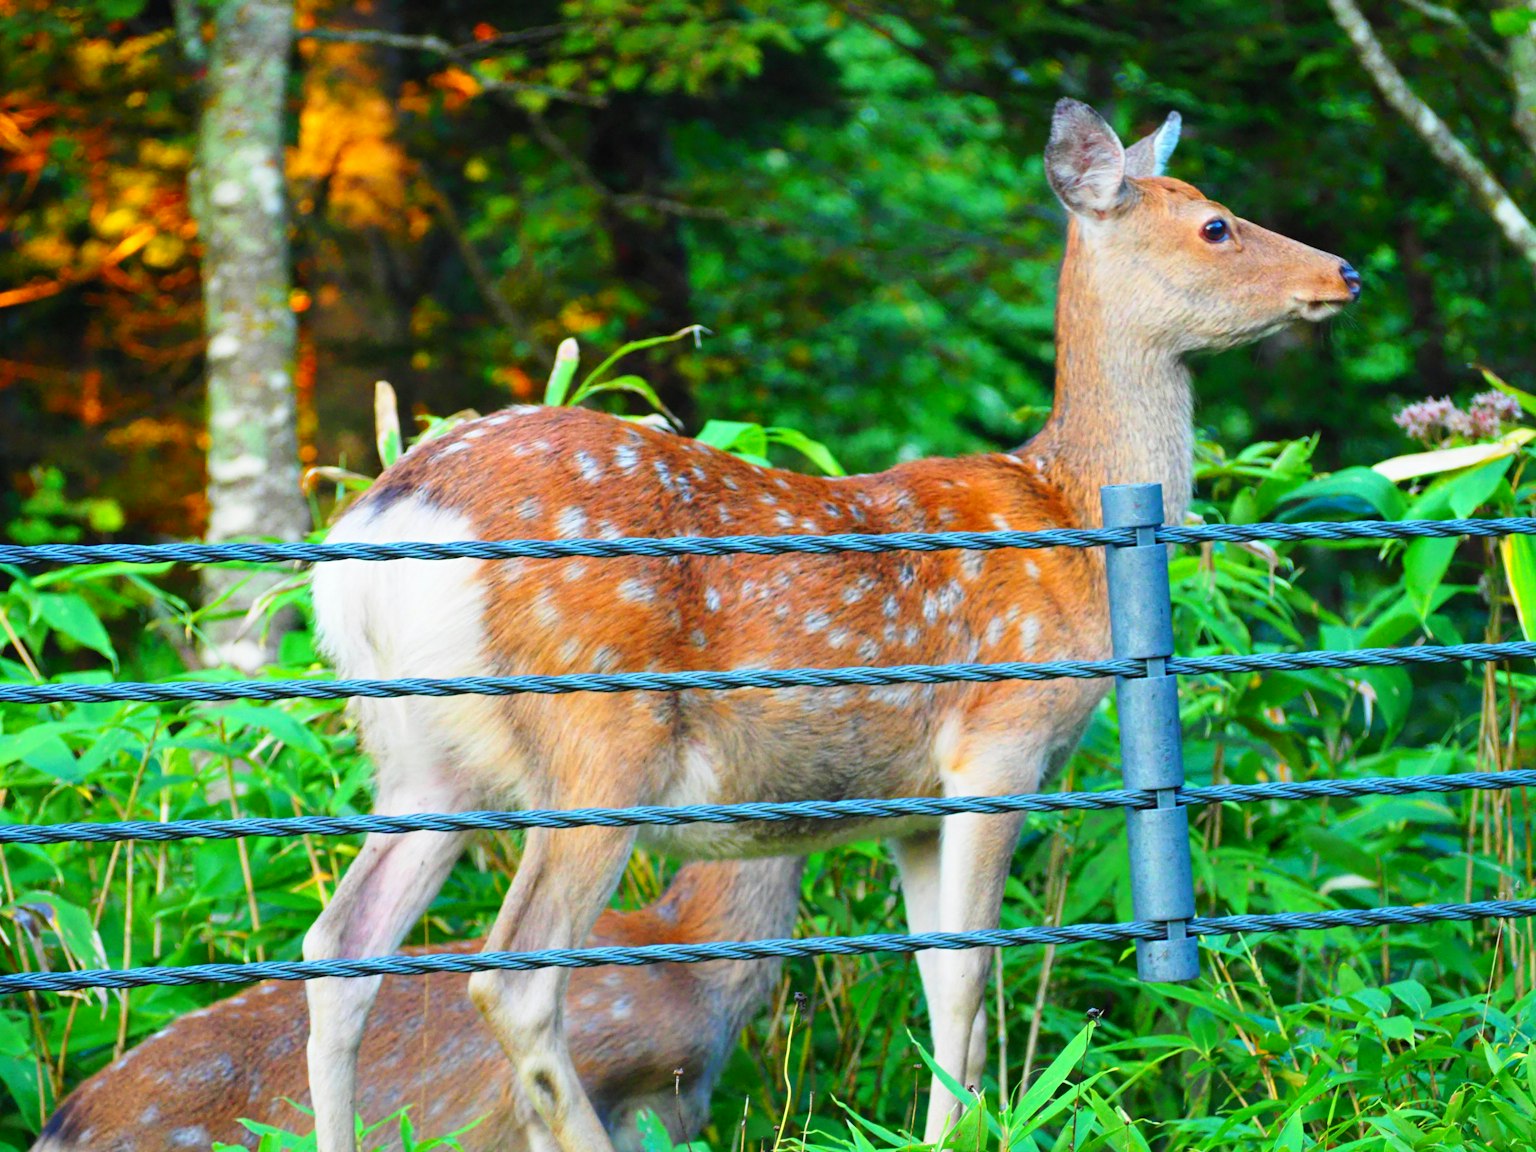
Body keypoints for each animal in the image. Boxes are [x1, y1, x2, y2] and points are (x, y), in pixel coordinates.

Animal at [302, 97, 1361, 1152]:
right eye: (1215, 224)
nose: (1344, 272)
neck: (1071, 521)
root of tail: (387, 517)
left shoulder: (913, 805)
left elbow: (938, 980)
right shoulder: (1000, 741)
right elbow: (971, 975)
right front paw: (960, 1136)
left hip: (426, 757)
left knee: (340, 947)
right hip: (596, 735)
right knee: (512, 976)